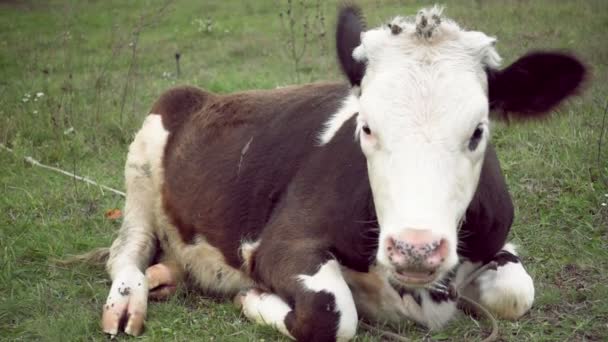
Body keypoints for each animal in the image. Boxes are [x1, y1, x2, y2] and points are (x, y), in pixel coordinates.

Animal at [98, 5, 584, 342]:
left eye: (478, 130)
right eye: (366, 126)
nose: (416, 249)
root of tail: (201, 94)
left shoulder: (496, 241)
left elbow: (516, 294)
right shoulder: (277, 243)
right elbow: (331, 314)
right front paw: (255, 297)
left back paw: (165, 278)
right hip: (142, 168)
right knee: (126, 251)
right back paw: (128, 300)